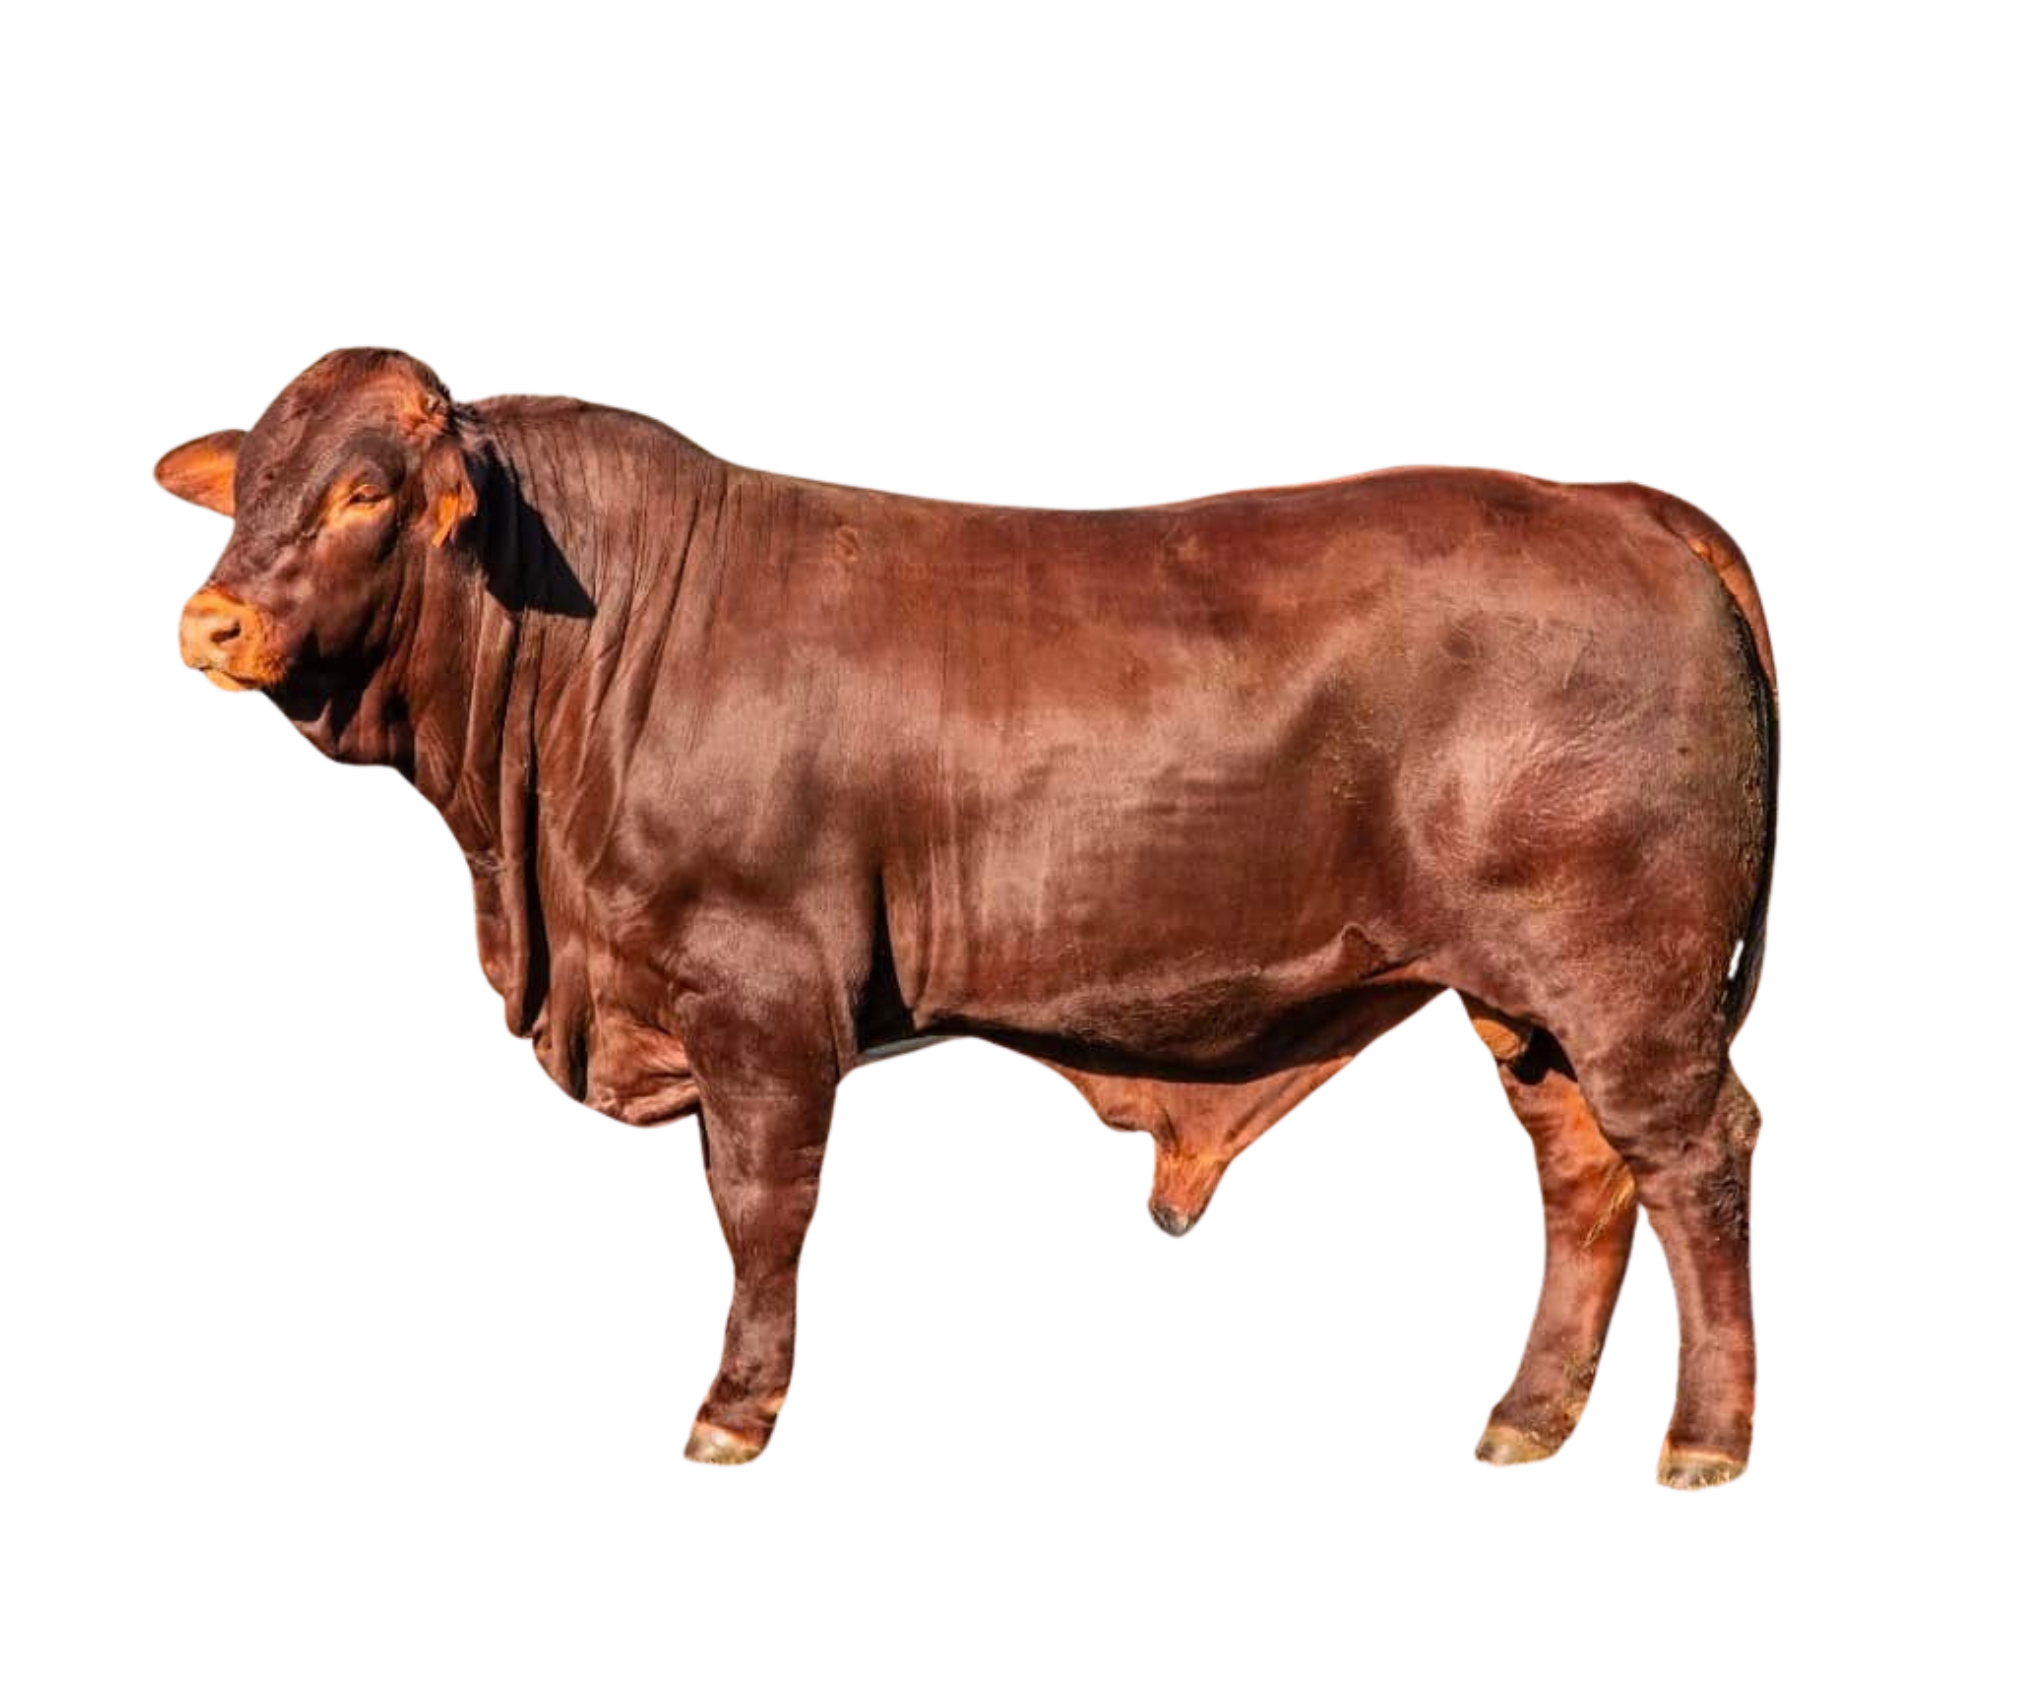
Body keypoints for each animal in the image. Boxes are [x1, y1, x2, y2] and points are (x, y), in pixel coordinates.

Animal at [160, 346, 1779, 1487]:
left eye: (366, 490)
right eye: (248, 487)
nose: (206, 622)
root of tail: (1609, 500)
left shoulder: (763, 988)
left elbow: (759, 1201)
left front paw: (732, 1411)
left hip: (1629, 981)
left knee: (1694, 1159)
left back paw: (1704, 1440)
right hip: (1526, 1007)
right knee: (1582, 1173)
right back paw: (1526, 1416)